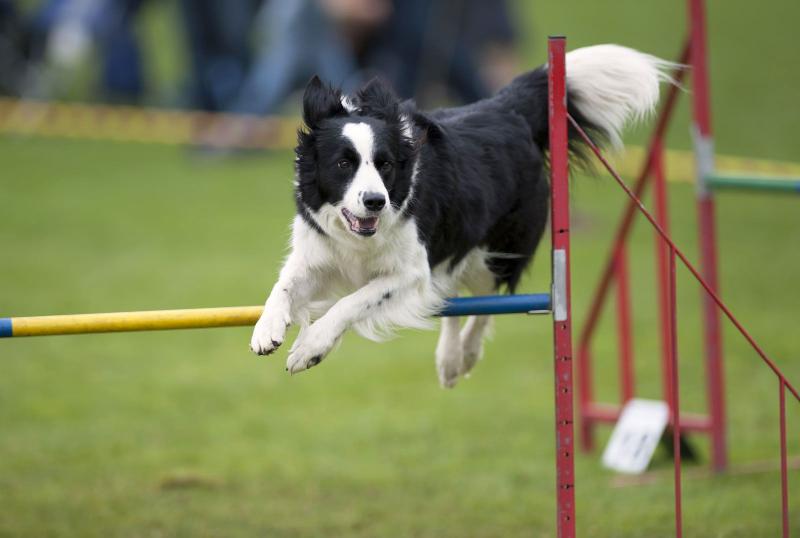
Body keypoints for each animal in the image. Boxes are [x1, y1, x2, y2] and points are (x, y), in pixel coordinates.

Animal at [250, 43, 676, 386]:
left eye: (384, 164)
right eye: (342, 164)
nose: (375, 201)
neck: (360, 237)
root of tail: (506, 109)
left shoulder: (411, 271)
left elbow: (353, 302)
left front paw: (310, 347)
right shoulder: (318, 253)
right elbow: (283, 285)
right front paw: (266, 329)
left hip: (495, 251)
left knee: (487, 301)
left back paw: (462, 357)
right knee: (451, 298)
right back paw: (449, 359)